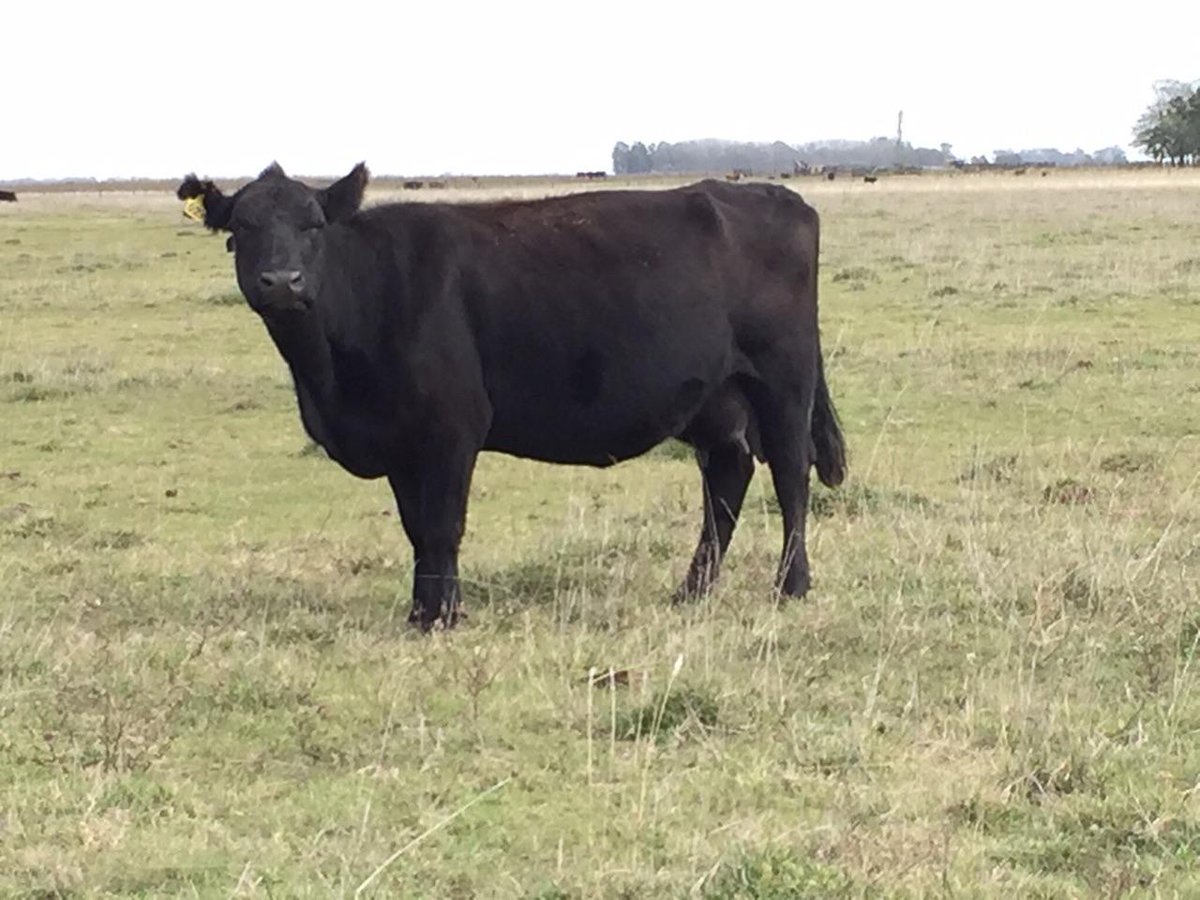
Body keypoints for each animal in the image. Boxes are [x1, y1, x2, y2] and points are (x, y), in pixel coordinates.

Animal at [176, 163, 846, 630]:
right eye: (241, 230)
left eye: (314, 226)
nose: (282, 282)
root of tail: (774, 196)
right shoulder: (400, 444)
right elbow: (416, 528)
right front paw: (422, 610)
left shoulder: (451, 429)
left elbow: (443, 524)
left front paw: (443, 616)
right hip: (713, 399)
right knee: (727, 479)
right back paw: (692, 589)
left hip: (783, 381)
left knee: (790, 476)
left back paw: (791, 586)